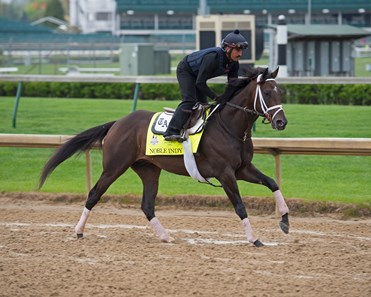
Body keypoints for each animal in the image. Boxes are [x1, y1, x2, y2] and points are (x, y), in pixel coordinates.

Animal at [40, 66, 290, 246]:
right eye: (267, 93)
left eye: (281, 92)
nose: (281, 122)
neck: (228, 126)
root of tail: (117, 123)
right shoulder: (225, 173)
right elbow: (239, 206)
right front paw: (254, 238)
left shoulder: (242, 169)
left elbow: (272, 182)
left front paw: (285, 220)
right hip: (114, 167)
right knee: (94, 194)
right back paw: (78, 231)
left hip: (149, 170)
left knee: (147, 205)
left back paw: (165, 236)